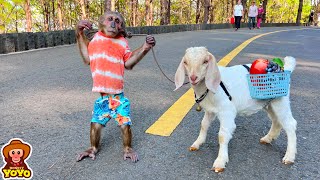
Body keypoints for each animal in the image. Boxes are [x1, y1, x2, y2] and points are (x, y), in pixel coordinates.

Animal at [75, 11, 155, 163]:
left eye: (118, 21)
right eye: (110, 19)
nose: (113, 24)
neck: (108, 37)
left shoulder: (124, 42)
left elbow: (127, 62)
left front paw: (148, 44)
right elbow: (88, 59)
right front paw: (80, 27)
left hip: (121, 104)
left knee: (124, 124)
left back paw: (127, 149)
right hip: (100, 108)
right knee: (96, 124)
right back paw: (92, 149)